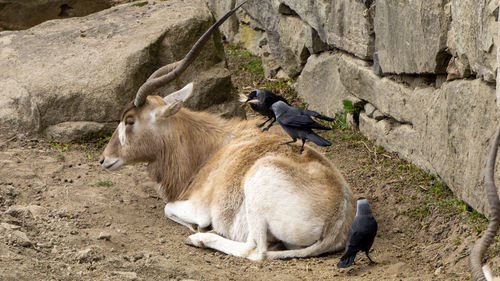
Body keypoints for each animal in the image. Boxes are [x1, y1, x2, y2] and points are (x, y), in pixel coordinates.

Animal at [99, 2, 354, 260]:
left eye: (129, 121)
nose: (104, 159)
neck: (210, 149)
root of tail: (337, 222)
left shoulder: (197, 206)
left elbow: (168, 208)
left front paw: (196, 228)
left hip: (258, 186)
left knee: (256, 250)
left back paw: (200, 238)